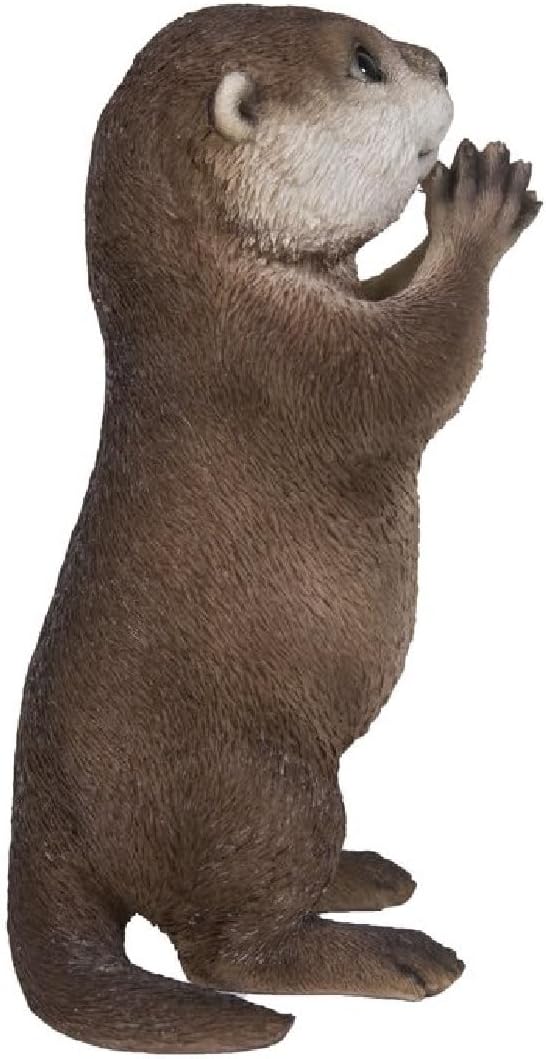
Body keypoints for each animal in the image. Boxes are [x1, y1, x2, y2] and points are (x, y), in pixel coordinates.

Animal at [8, 4, 540, 1054]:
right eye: (367, 61)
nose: (441, 60)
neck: (210, 301)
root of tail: (49, 824)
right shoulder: (285, 364)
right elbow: (424, 364)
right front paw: (477, 207)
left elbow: (393, 291)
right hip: (262, 789)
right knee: (225, 950)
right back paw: (401, 956)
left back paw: (369, 874)